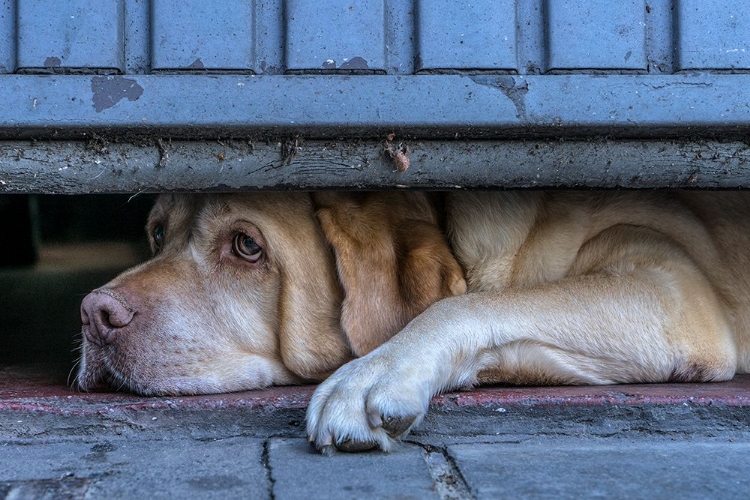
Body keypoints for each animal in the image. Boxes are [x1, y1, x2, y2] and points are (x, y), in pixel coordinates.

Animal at [79, 191, 748, 454]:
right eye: (157, 233)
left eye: (246, 247)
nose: (94, 314)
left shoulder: (671, 287)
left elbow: (470, 304)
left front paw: (374, 373)